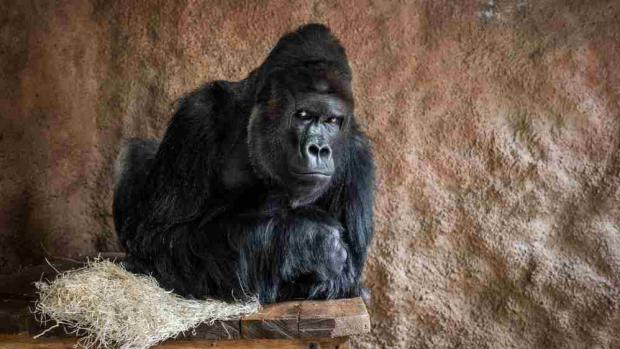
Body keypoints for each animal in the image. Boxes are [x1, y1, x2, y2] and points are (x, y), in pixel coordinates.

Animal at [112, 23, 372, 304]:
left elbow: (346, 278)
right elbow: (158, 235)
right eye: (303, 115)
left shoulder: (359, 155)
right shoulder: (197, 113)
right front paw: (307, 242)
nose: (320, 149)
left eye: (332, 120)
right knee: (135, 153)